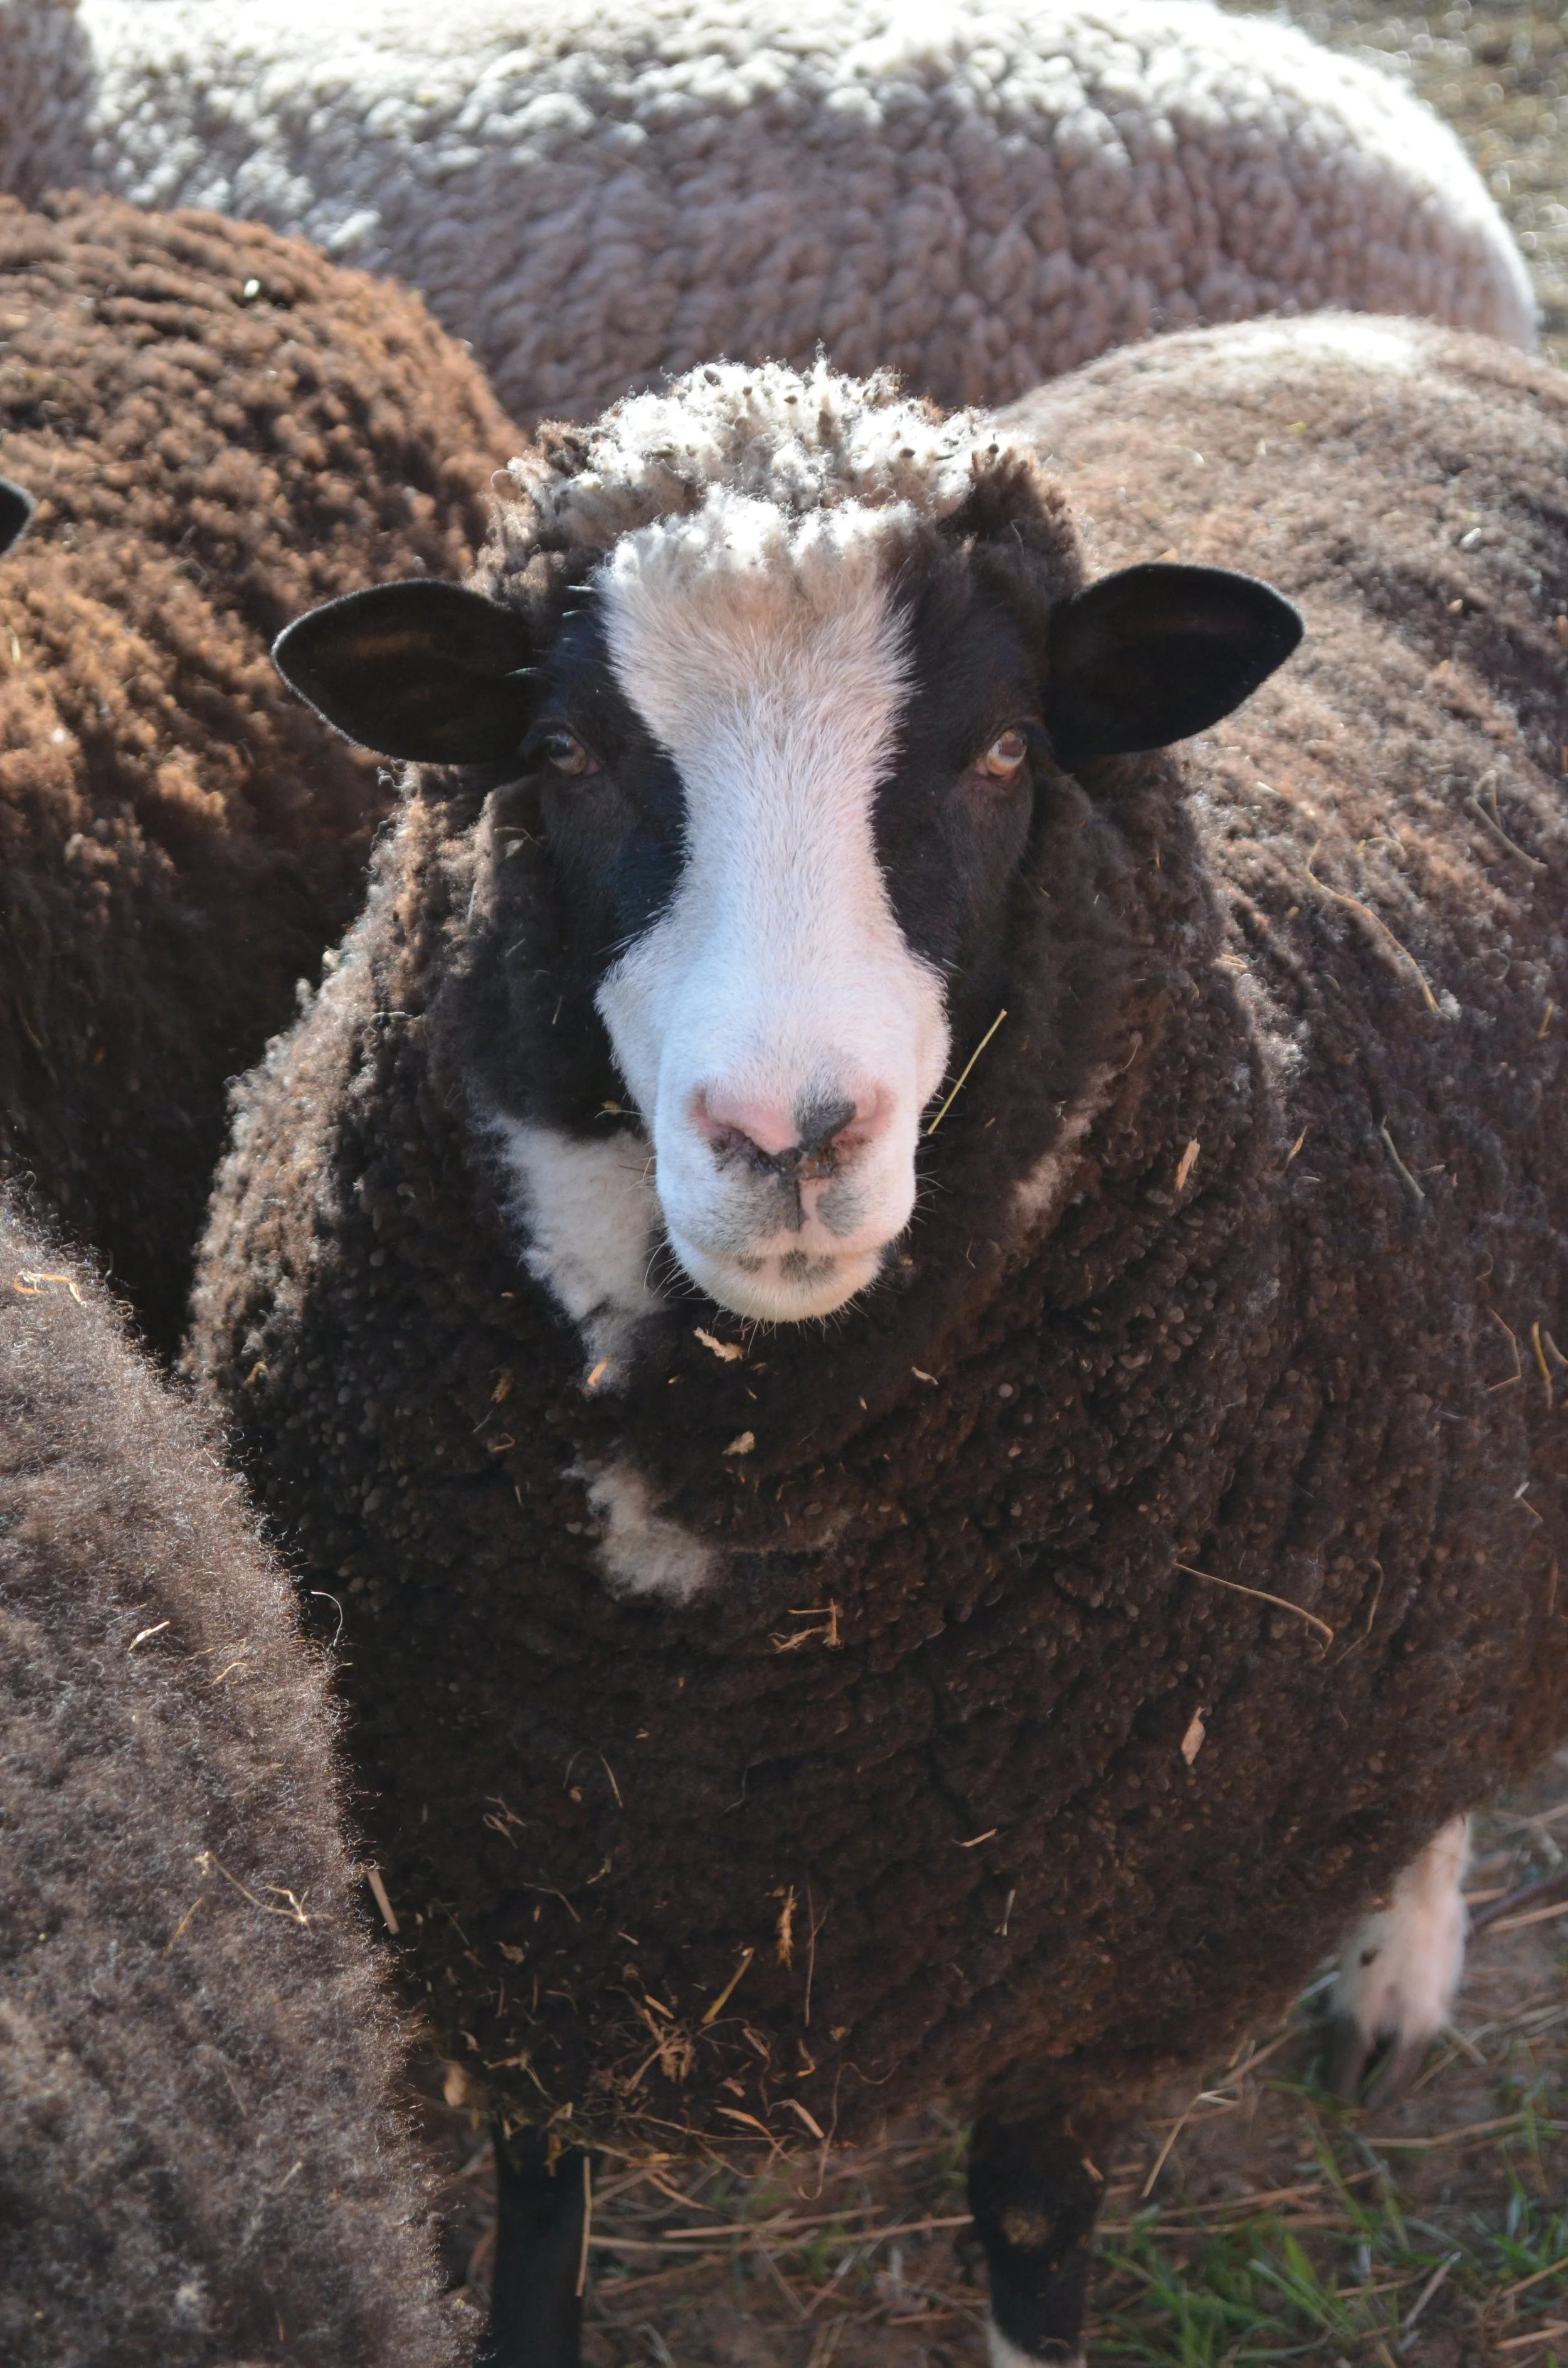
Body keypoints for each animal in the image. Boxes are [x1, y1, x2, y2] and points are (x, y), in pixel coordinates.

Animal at [188, 326, 1568, 2366]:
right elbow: (535, 2236)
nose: (789, 1135)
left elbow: (1029, 2235)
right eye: (564, 755)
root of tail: (1424, 343)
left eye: (1002, 754)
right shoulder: (521, 1904)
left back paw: (1395, 1969)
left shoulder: (1104, 1978)